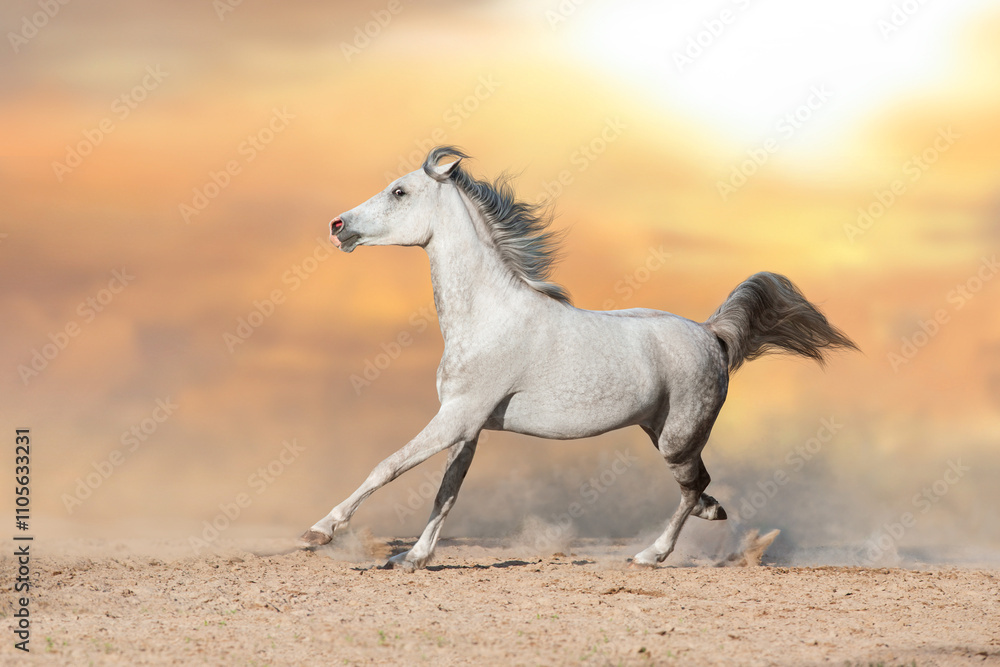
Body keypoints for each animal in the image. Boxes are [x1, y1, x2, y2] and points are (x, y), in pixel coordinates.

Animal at [299, 145, 857, 569]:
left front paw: (318, 532)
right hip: (660, 429)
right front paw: (413, 558)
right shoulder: (469, 426)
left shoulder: (457, 417)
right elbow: (446, 492)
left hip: (677, 437)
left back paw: (651, 555)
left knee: (692, 485)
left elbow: (387, 467)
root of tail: (710, 333)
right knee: (698, 486)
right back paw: (711, 514)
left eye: (400, 191)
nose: (337, 225)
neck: (488, 316)